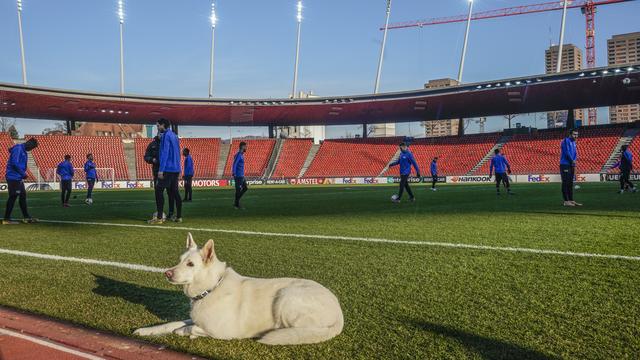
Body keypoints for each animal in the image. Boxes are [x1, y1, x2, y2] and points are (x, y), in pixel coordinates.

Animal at [132, 233, 342, 346]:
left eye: (190, 264)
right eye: (180, 260)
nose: (167, 273)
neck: (211, 288)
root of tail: (339, 313)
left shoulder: (222, 332)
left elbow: (190, 328)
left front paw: (185, 332)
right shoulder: (195, 317)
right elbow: (172, 323)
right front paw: (146, 331)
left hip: (286, 298)